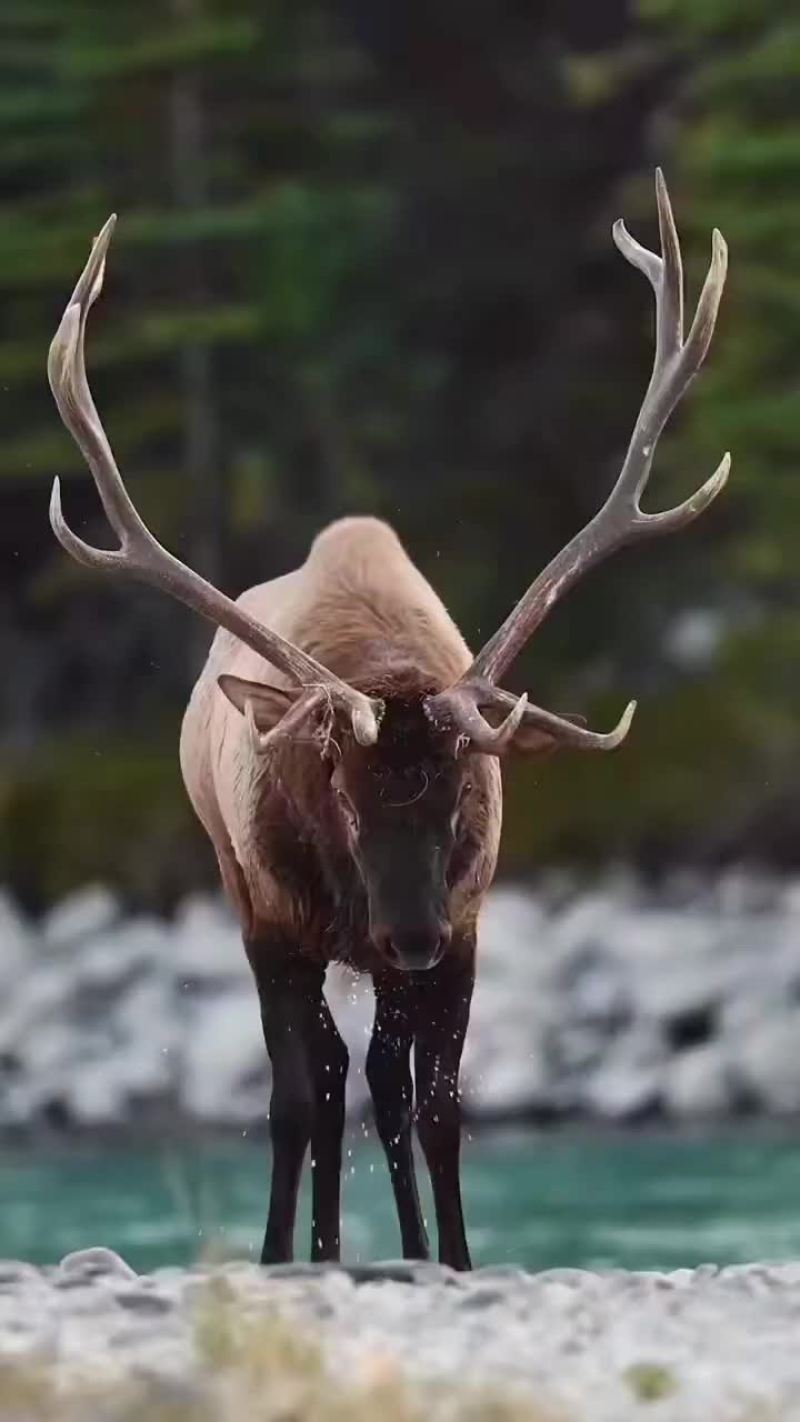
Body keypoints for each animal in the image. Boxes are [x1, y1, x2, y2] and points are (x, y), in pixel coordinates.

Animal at [47, 170, 728, 1271]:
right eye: (346, 796)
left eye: (463, 799)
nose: (407, 935)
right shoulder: (277, 918)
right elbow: (303, 1096)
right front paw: (297, 1254)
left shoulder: (467, 922)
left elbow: (435, 1107)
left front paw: (450, 1257)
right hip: (251, 895)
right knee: (317, 1091)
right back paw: (310, 1248)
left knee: (380, 1085)